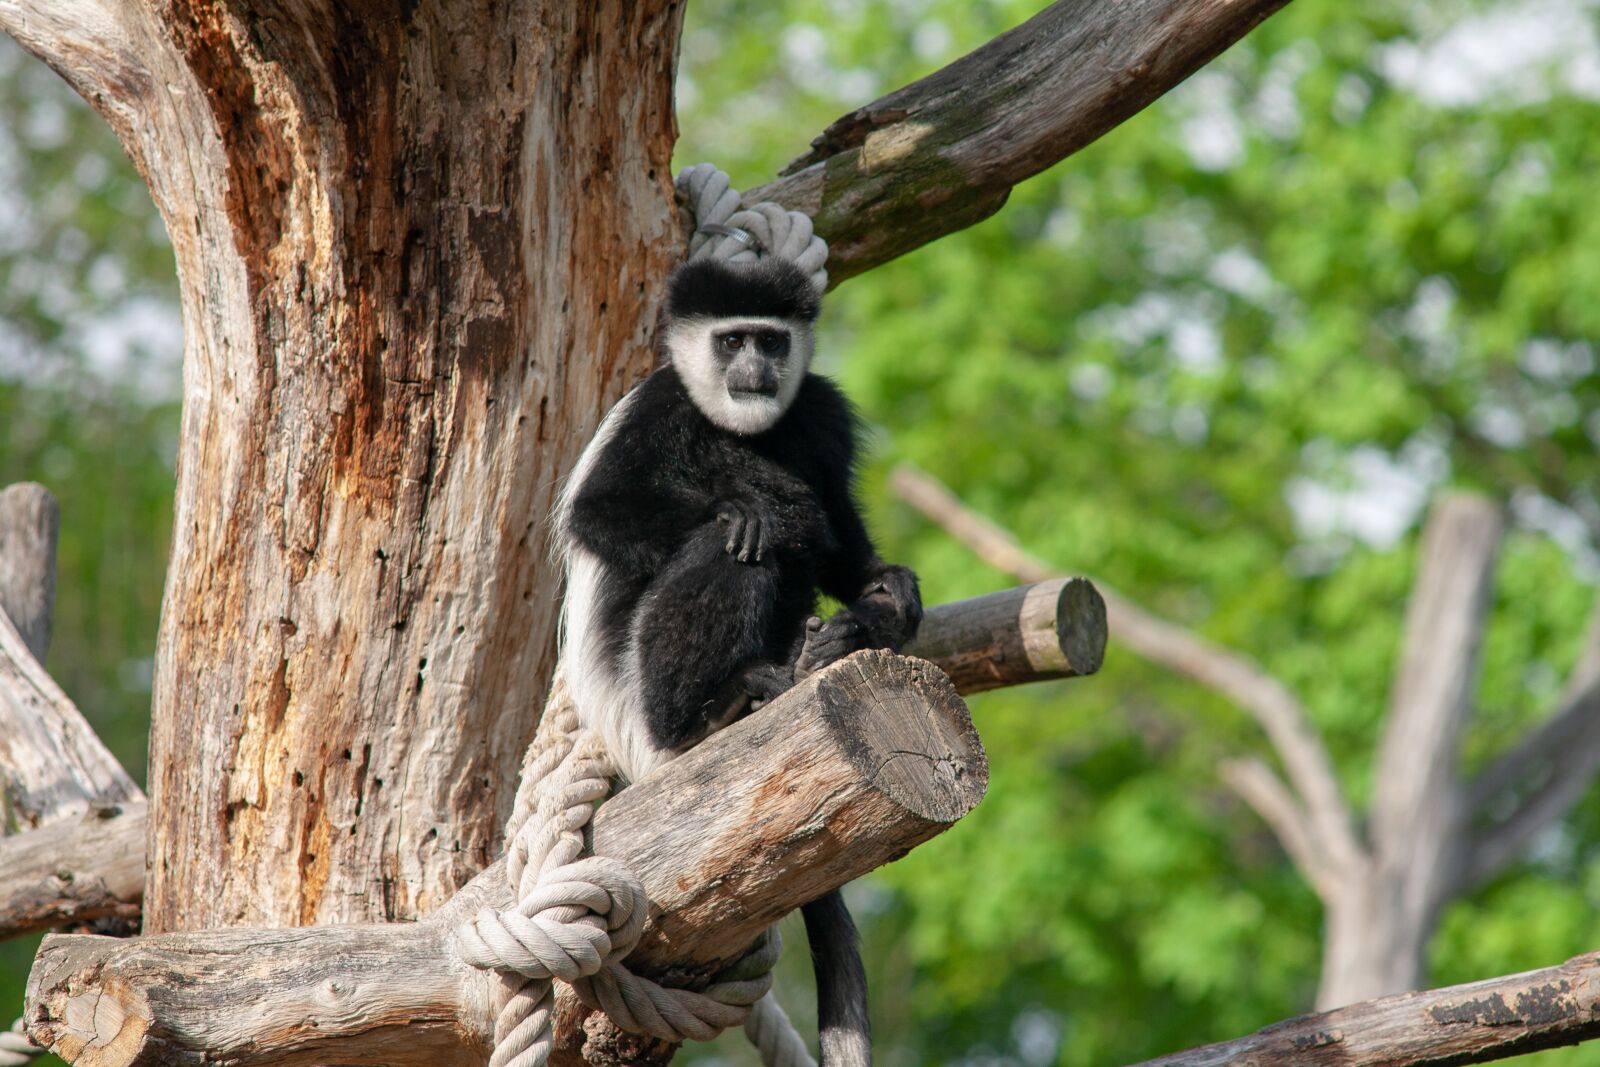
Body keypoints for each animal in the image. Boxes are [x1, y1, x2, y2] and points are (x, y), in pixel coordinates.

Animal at [552, 255, 922, 1067]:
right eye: (730, 341)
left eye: (771, 341)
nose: (754, 369)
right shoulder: (658, 407)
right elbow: (601, 510)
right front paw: (750, 507)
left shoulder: (821, 411)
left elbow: (842, 534)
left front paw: (888, 591)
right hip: (640, 696)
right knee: (737, 545)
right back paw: (714, 706)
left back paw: (823, 647)